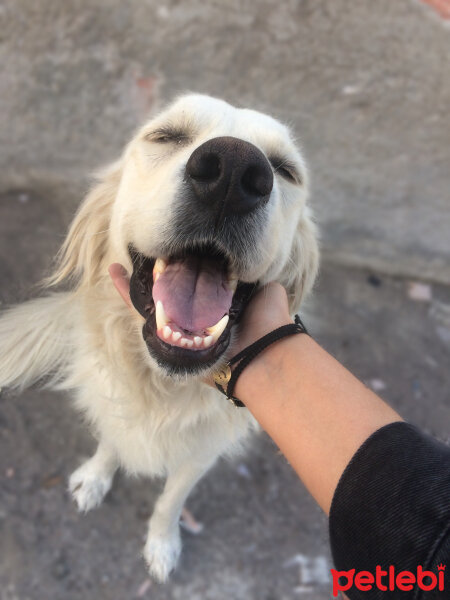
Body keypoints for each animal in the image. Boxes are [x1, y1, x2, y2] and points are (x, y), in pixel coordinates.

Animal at [0, 94, 316, 580]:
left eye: (285, 170)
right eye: (165, 136)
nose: (233, 170)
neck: (163, 387)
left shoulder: (200, 456)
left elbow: (171, 501)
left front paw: (162, 544)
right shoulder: (114, 400)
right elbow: (111, 441)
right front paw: (96, 477)